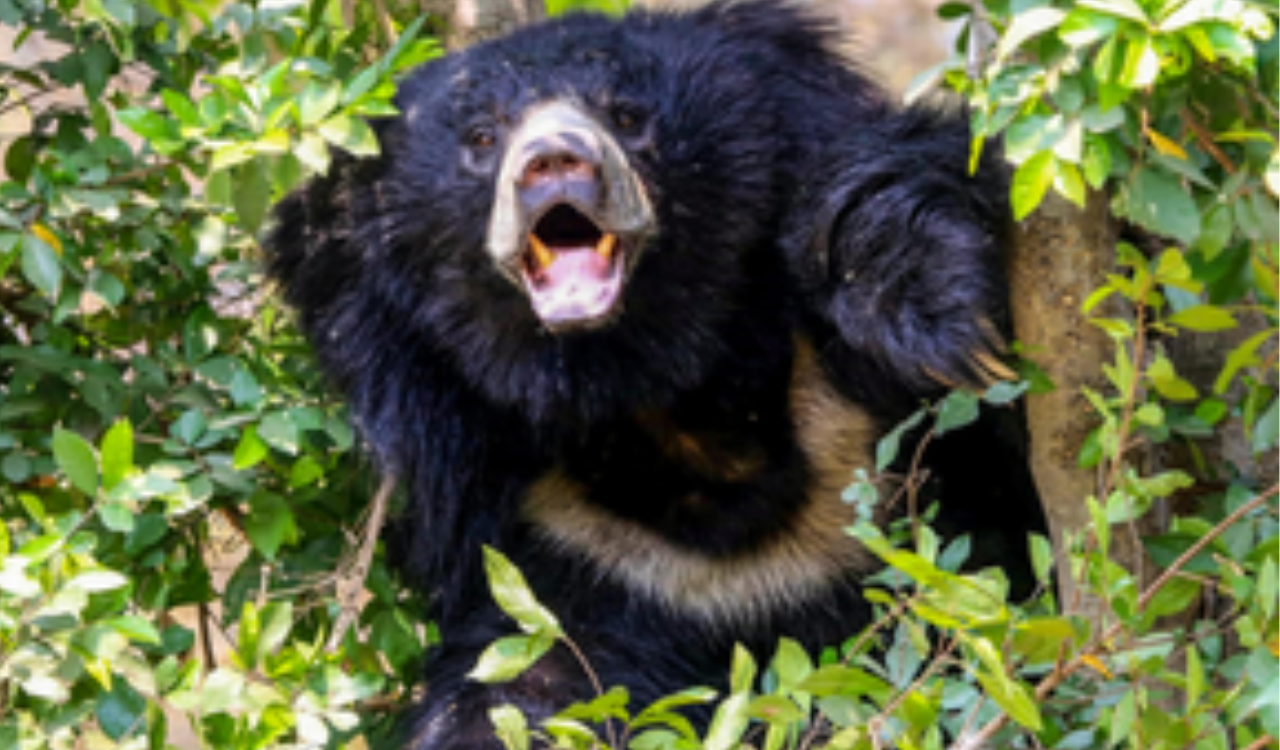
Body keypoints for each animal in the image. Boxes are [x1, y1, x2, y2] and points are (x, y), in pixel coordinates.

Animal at [265, 1, 1046, 746]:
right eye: (482, 139)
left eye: (628, 117)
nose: (554, 162)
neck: (661, 396)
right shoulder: (569, 545)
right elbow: (530, 684)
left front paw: (935, 311)